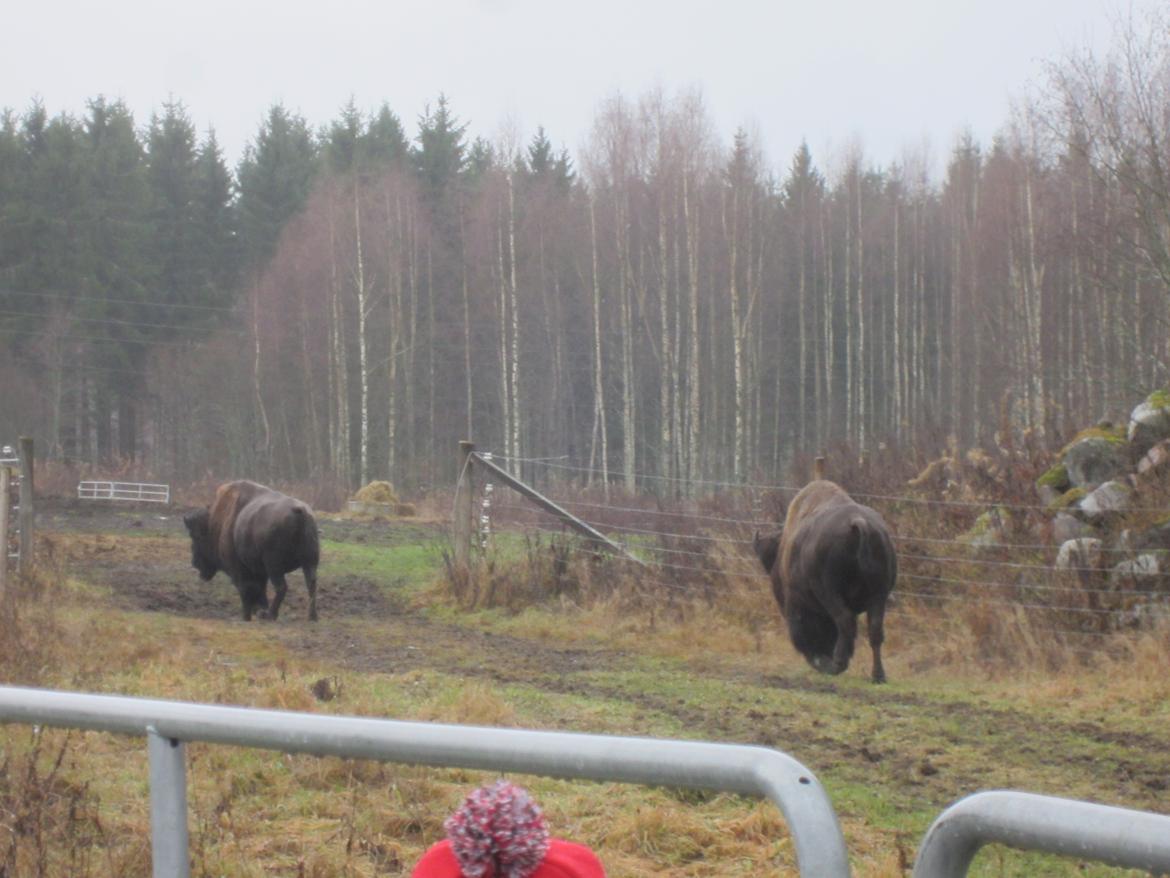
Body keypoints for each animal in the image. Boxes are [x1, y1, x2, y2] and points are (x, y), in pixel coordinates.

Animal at [182, 484, 320, 622]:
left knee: (281, 587)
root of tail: (300, 512)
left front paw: (247, 616)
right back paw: (312, 617)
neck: (216, 524)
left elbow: (246, 591)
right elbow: (260, 591)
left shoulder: (239, 571)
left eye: (194, 536)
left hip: (274, 567)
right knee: (311, 585)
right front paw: (258, 610)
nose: (194, 563)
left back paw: (271, 615)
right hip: (309, 562)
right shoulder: (260, 572)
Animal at [758, 484, 893, 683]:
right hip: (879, 596)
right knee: (875, 631)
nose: (816, 658)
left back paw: (837, 664)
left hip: (829, 593)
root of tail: (859, 523)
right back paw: (878, 675)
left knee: (845, 620)